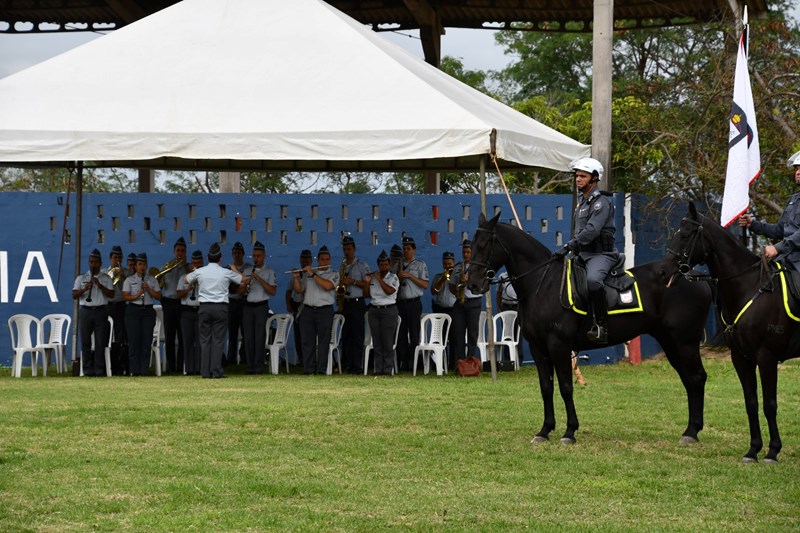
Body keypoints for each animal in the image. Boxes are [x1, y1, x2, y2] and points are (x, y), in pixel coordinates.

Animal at [466, 212, 708, 444]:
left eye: (485, 244)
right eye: (471, 244)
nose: (473, 284)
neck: (543, 284)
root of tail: (692, 275)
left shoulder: (559, 346)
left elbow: (565, 387)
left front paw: (569, 431)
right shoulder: (538, 348)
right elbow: (546, 387)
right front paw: (545, 430)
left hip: (685, 342)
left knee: (697, 377)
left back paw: (692, 432)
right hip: (670, 342)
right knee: (689, 379)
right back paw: (691, 429)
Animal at [664, 204, 800, 462]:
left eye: (685, 234)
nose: (666, 269)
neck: (750, 286)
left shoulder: (767, 357)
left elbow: (770, 404)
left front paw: (772, 451)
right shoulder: (740, 357)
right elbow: (751, 403)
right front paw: (753, 450)